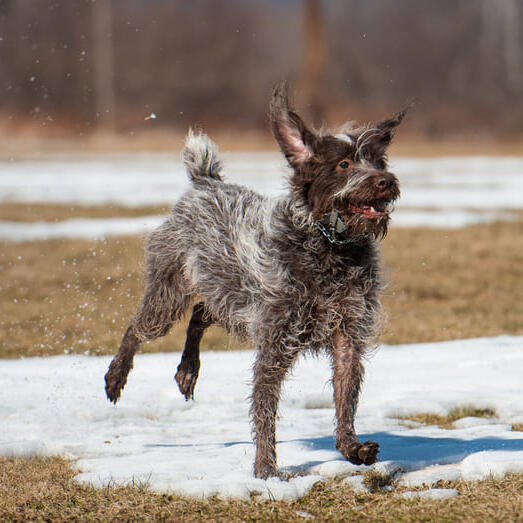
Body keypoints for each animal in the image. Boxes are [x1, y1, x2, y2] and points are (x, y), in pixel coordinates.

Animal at [104, 83, 408, 478]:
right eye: (344, 164)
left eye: (379, 162)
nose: (385, 181)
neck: (328, 246)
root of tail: (206, 182)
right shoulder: (275, 342)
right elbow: (265, 410)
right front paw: (266, 470)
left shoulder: (347, 335)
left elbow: (345, 399)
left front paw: (350, 447)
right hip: (169, 295)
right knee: (138, 328)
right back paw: (117, 376)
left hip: (227, 295)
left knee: (200, 314)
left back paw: (187, 370)